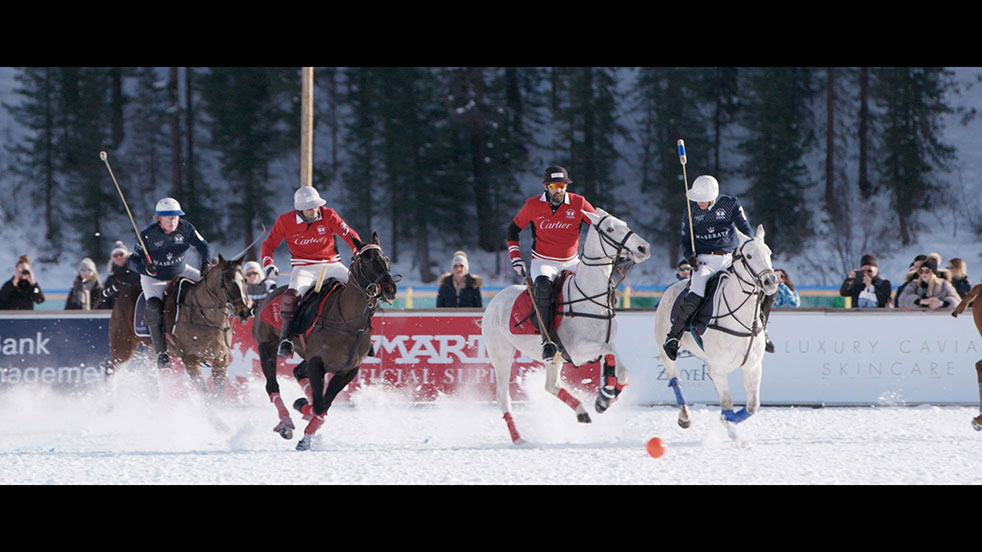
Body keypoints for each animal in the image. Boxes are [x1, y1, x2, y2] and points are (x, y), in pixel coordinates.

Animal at [106, 254, 254, 396]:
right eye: (227, 282)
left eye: (245, 280)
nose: (244, 312)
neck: (206, 318)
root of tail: (123, 291)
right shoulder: (191, 360)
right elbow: (207, 395)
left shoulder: (221, 360)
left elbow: (218, 394)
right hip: (123, 344)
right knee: (110, 369)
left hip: (150, 349)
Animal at [254, 231, 400, 450]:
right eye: (365, 260)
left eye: (386, 259)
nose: (390, 289)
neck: (348, 323)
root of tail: (268, 296)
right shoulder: (317, 363)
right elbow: (320, 404)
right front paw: (305, 434)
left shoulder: (348, 370)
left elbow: (324, 405)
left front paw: (307, 423)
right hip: (267, 347)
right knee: (272, 385)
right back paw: (285, 423)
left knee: (298, 373)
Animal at [484, 207, 652, 444]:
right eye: (610, 229)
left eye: (625, 224)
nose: (643, 248)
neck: (591, 296)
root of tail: (495, 300)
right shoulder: (578, 351)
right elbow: (608, 353)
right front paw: (604, 396)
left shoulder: (597, 345)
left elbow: (621, 366)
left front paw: (606, 397)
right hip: (501, 353)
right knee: (503, 397)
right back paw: (518, 438)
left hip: (553, 359)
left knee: (551, 385)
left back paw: (581, 411)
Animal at [656, 224, 780, 436]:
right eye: (748, 255)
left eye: (769, 253)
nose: (771, 281)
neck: (741, 319)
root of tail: (671, 287)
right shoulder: (719, 368)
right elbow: (728, 406)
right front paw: (734, 434)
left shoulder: (752, 366)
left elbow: (751, 406)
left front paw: (732, 426)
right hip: (665, 350)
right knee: (675, 378)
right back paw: (684, 417)